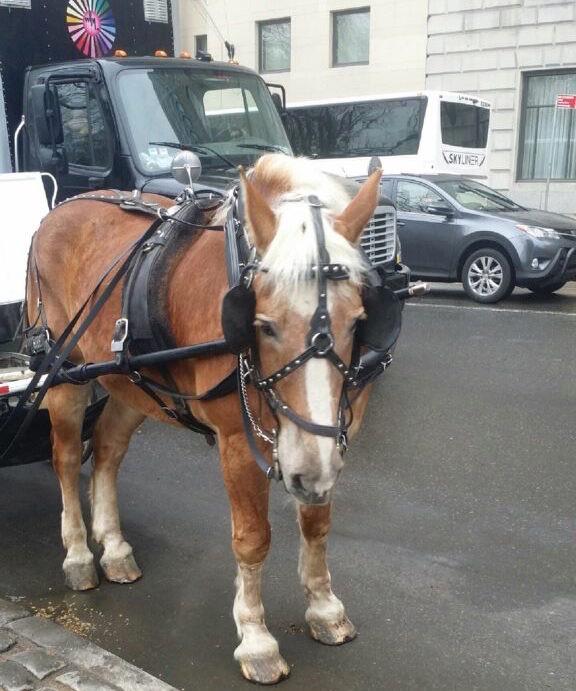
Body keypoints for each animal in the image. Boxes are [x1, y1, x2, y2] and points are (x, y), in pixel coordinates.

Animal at [26, 154, 382, 684]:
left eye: (358, 320)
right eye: (263, 325)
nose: (308, 473)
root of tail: (57, 213)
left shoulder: (329, 440)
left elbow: (317, 523)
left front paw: (324, 609)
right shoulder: (239, 442)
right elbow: (253, 539)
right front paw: (256, 641)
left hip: (131, 383)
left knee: (107, 451)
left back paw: (114, 547)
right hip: (64, 373)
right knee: (67, 459)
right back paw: (78, 555)